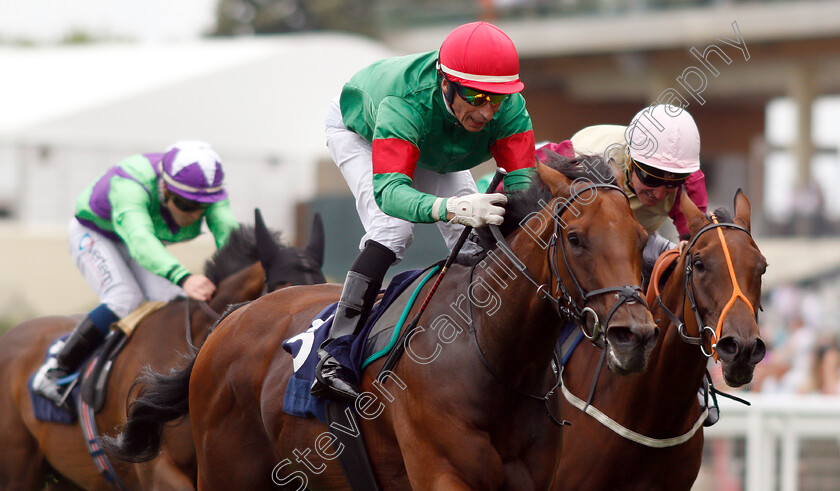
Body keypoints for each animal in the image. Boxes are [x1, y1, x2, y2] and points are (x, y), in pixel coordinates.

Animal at [105, 159, 660, 491]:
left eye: (639, 238)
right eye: (576, 238)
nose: (633, 335)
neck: (494, 355)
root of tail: (230, 320)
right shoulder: (443, 475)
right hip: (227, 472)